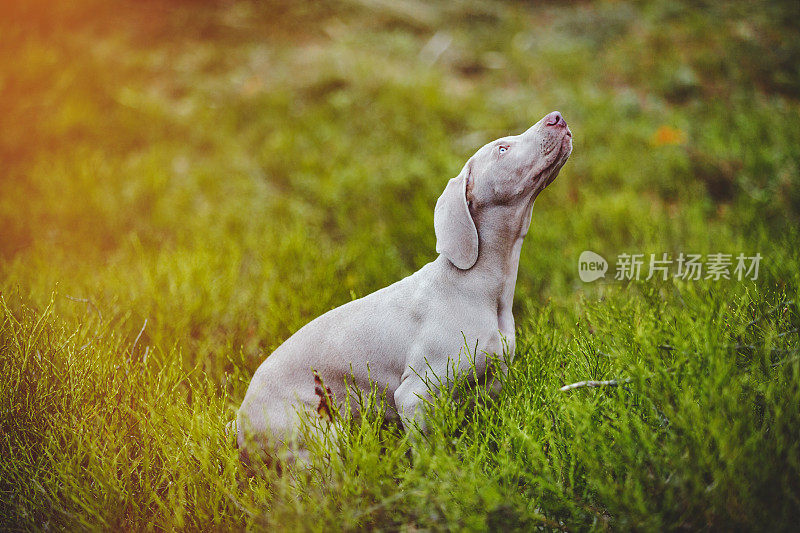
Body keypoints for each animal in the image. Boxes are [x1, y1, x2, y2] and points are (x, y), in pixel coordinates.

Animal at [234, 111, 572, 466]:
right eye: (502, 149)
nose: (557, 118)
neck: (480, 288)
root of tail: (239, 422)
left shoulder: (491, 385)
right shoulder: (415, 395)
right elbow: (428, 455)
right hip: (317, 436)